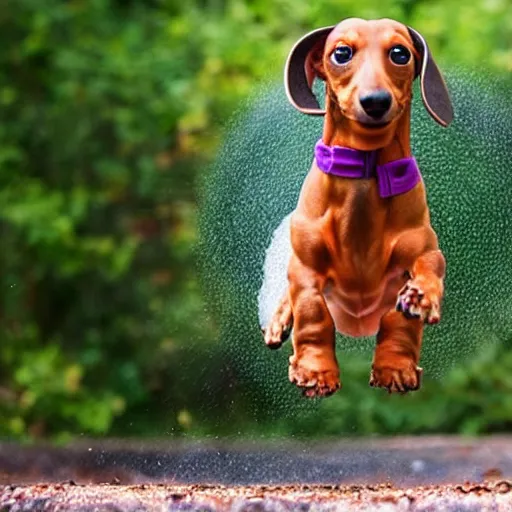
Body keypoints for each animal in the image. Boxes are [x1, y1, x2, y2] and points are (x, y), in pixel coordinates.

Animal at [262, 18, 454, 396]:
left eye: (400, 53)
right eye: (341, 53)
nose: (375, 101)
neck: (364, 174)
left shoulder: (424, 251)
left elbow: (411, 300)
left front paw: (397, 361)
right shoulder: (307, 269)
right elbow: (312, 316)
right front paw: (315, 370)